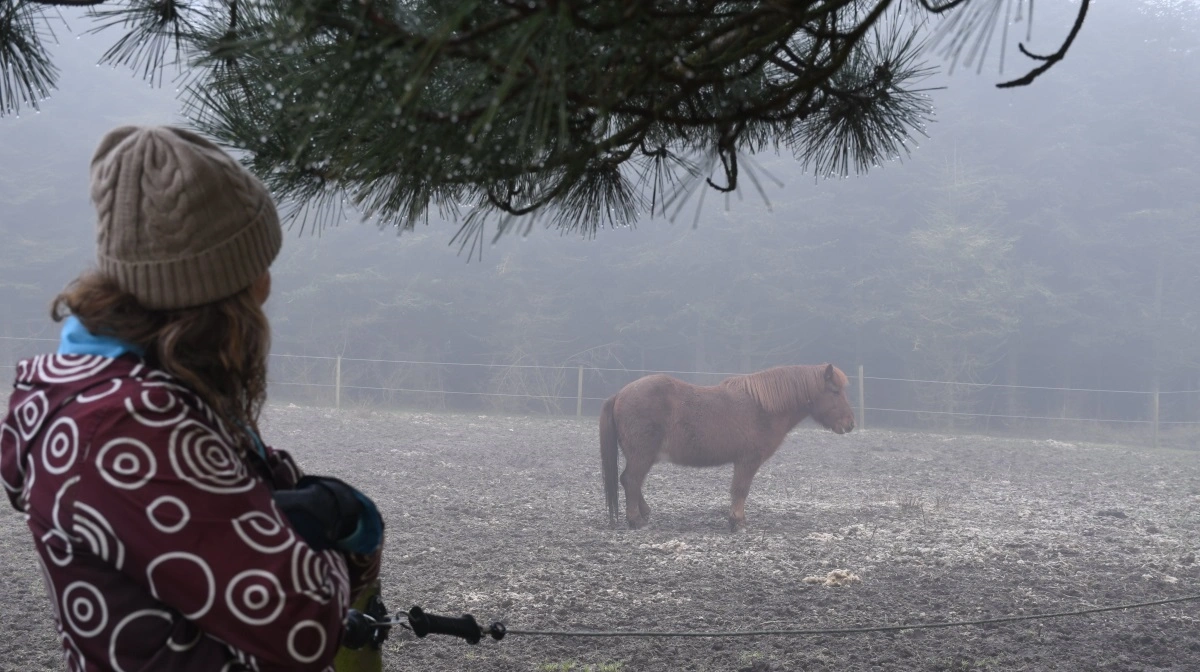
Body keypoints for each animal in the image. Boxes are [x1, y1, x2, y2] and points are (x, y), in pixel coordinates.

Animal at [600, 364, 854, 532]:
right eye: (835, 391)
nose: (850, 424)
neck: (762, 407)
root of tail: (620, 394)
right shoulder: (747, 460)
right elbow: (740, 490)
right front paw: (737, 521)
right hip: (642, 454)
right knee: (631, 480)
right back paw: (636, 520)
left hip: (644, 456)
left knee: (632, 481)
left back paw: (644, 513)